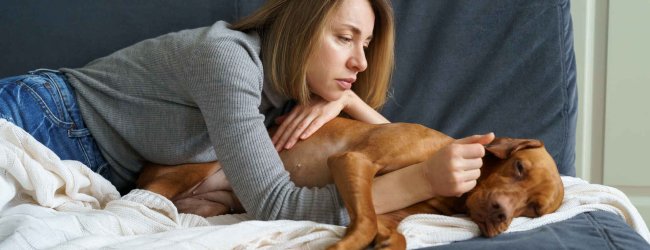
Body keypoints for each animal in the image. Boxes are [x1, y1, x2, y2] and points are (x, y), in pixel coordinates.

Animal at [137, 117, 560, 250]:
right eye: (519, 167)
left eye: (534, 209)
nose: (500, 214)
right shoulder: (354, 161)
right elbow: (366, 221)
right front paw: (343, 246)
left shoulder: (392, 214)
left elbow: (391, 231)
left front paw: (385, 243)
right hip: (190, 170)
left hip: (214, 204)